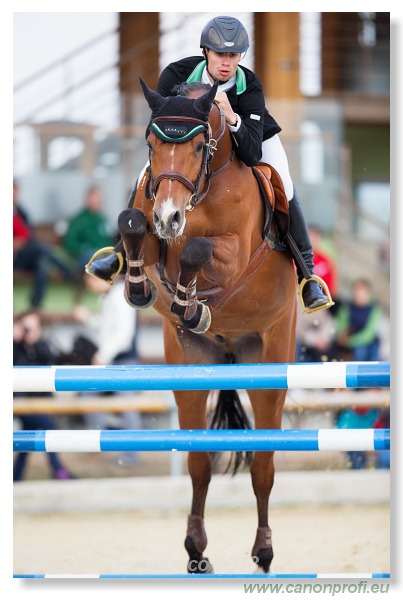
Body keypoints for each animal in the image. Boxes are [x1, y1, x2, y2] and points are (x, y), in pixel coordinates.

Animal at [117, 77, 296, 576]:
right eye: (152, 143)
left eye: (199, 146)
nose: (169, 216)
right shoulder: (153, 233)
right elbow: (132, 223)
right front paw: (141, 288)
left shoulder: (233, 253)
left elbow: (197, 250)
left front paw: (191, 304)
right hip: (190, 369)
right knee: (199, 464)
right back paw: (196, 550)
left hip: (270, 363)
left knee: (263, 468)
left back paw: (264, 552)